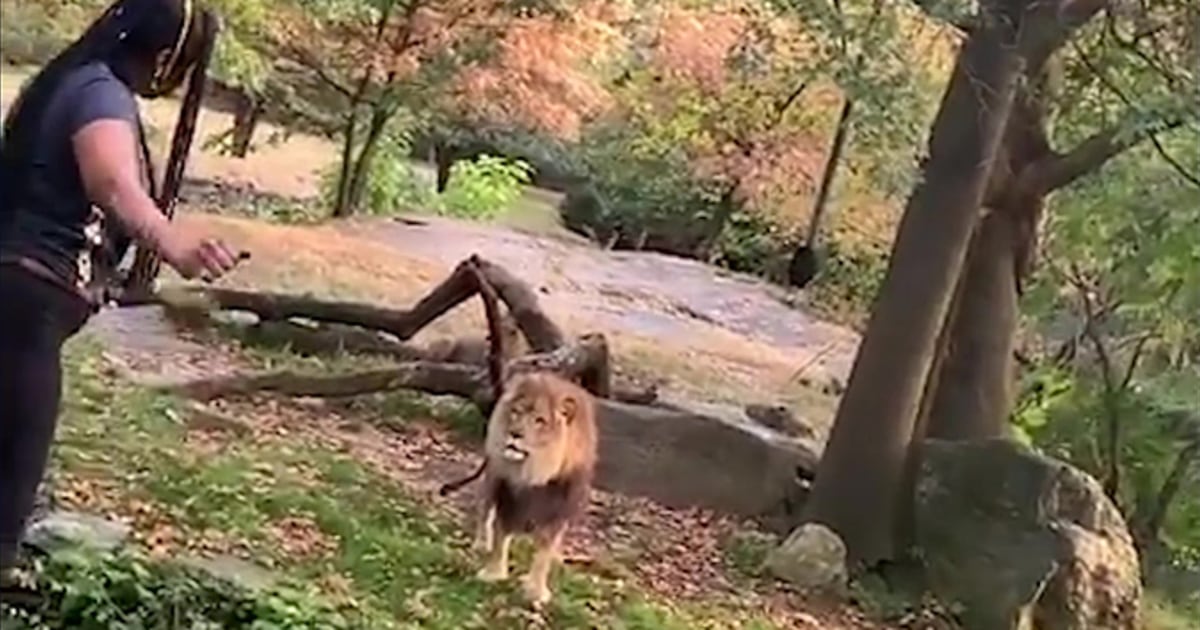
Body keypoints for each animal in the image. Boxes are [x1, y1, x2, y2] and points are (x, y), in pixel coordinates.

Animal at [469, 371, 598, 607]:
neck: (533, 473)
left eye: (540, 421)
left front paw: (536, 591)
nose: (514, 433)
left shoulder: (557, 510)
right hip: (491, 478)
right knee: (484, 512)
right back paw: (481, 543)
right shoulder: (508, 497)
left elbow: (543, 553)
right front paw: (493, 573)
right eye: (516, 413)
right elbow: (501, 537)